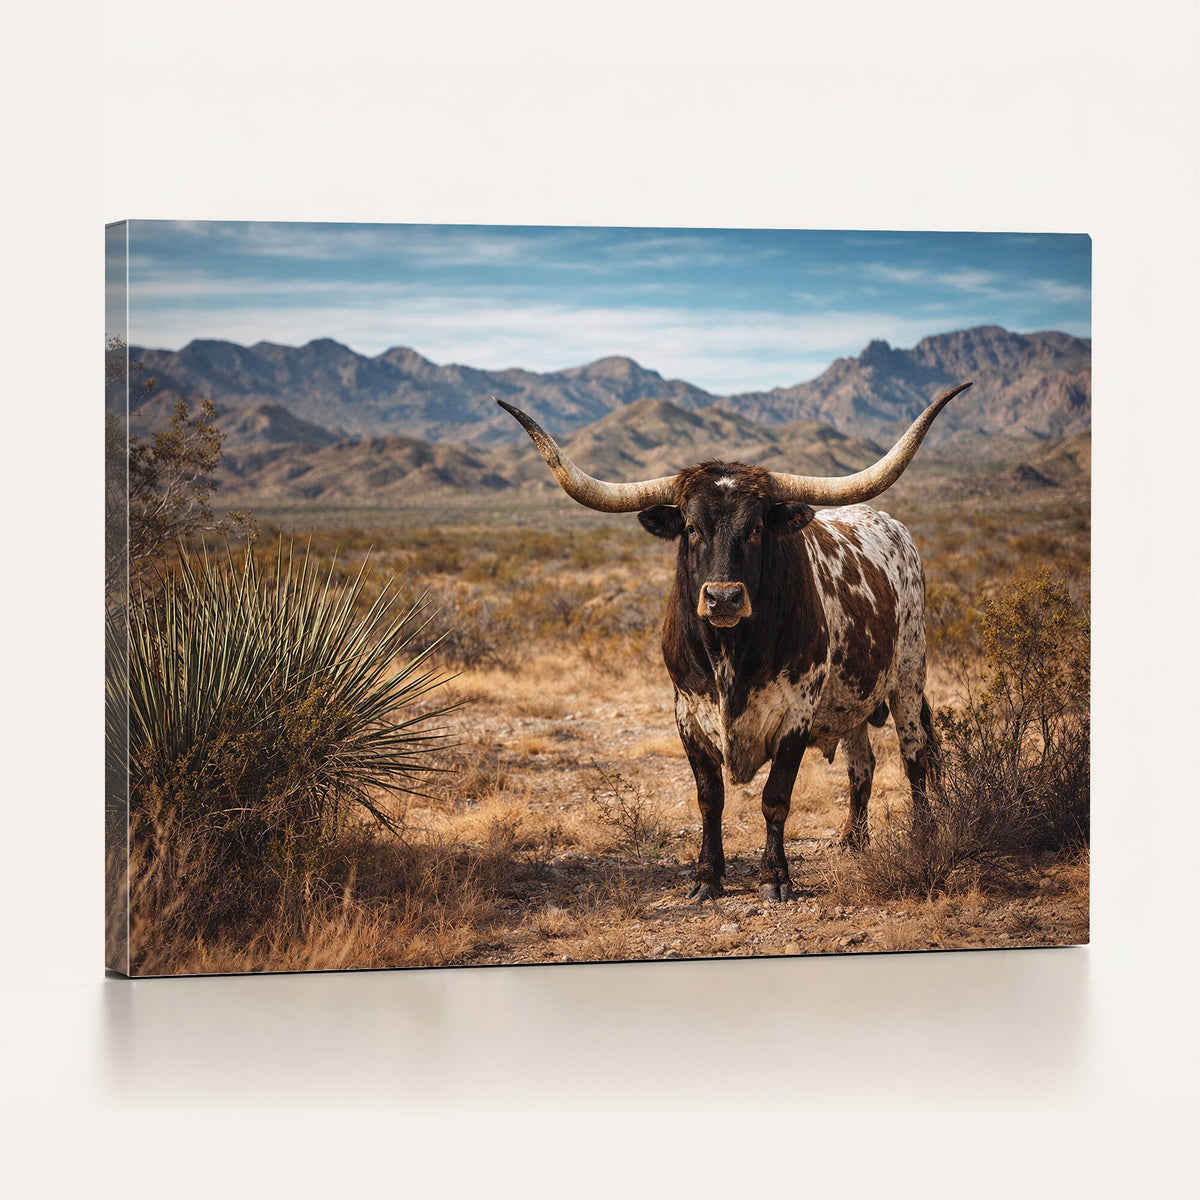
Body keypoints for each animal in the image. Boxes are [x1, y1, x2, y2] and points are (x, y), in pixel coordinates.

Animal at [495, 382, 972, 902]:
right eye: (690, 527)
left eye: (757, 527)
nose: (723, 597)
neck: (730, 656)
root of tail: (892, 526)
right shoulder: (687, 713)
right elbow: (710, 798)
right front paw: (707, 875)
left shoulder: (796, 714)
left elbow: (775, 798)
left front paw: (775, 877)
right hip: (851, 701)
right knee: (861, 765)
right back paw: (853, 840)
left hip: (908, 678)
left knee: (915, 759)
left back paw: (922, 837)